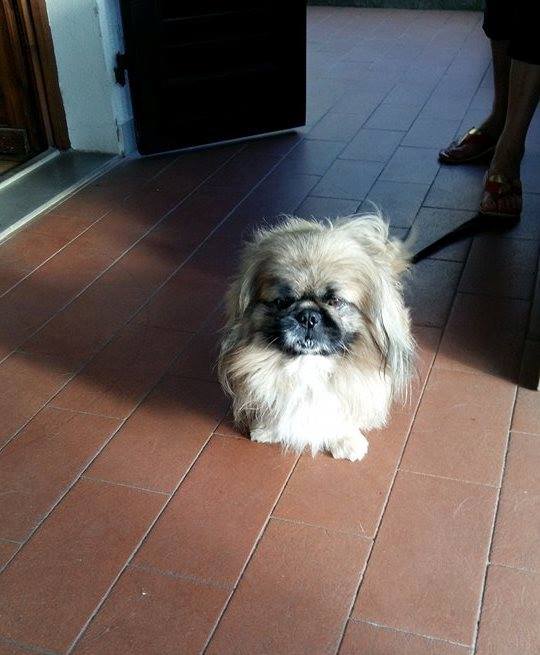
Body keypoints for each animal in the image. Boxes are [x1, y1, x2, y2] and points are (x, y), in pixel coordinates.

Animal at [218, 212, 414, 461]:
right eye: (283, 301)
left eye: (335, 301)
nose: (308, 316)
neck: (308, 363)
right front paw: (268, 429)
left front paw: (345, 441)